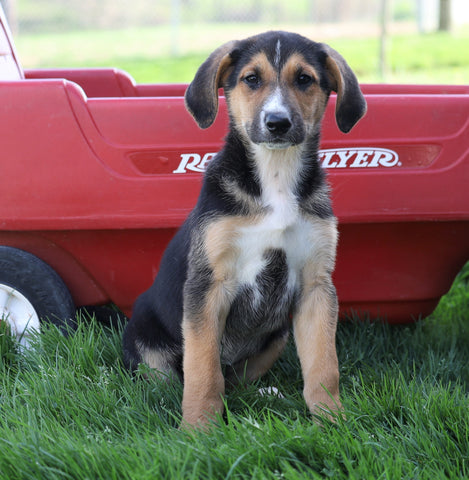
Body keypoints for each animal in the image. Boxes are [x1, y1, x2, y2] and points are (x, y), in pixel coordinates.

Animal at [123, 30, 366, 428]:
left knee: (236, 379)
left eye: (304, 79)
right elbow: (203, 370)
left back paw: (264, 393)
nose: (277, 123)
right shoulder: (209, 286)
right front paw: (197, 429)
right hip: (146, 337)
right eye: (251, 79)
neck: (276, 175)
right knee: (170, 379)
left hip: (278, 335)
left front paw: (333, 421)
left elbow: (324, 365)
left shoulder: (316, 286)